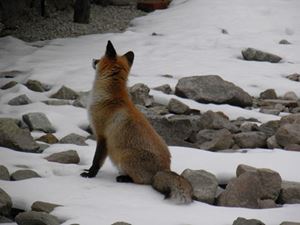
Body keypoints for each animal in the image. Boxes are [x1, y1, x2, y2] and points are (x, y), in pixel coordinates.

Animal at [81, 40, 192, 204]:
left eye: (100, 59)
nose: (93, 60)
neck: (110, 97)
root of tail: (164, 169)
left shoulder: (102, 137)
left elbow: (96, 161)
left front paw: (90, 174)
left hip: (124, 156)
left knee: (142, 181)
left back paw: (124, 178)